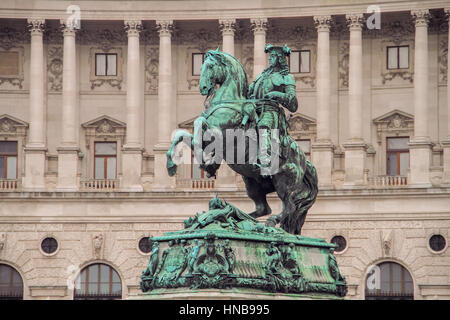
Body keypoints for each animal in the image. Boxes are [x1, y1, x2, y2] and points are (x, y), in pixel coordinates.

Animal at [165, 48, 316, 234]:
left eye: (210, 66)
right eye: (200, 66)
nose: (203, 88)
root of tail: (304, 160)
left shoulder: (221, 133)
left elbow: (200, 124)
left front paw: (208, 162)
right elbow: (182, 134)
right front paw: (172, 165)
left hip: (284, 181)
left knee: (289, 206)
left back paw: (266, 222)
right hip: (252, 182)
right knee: (264, 209)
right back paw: (239, 218)